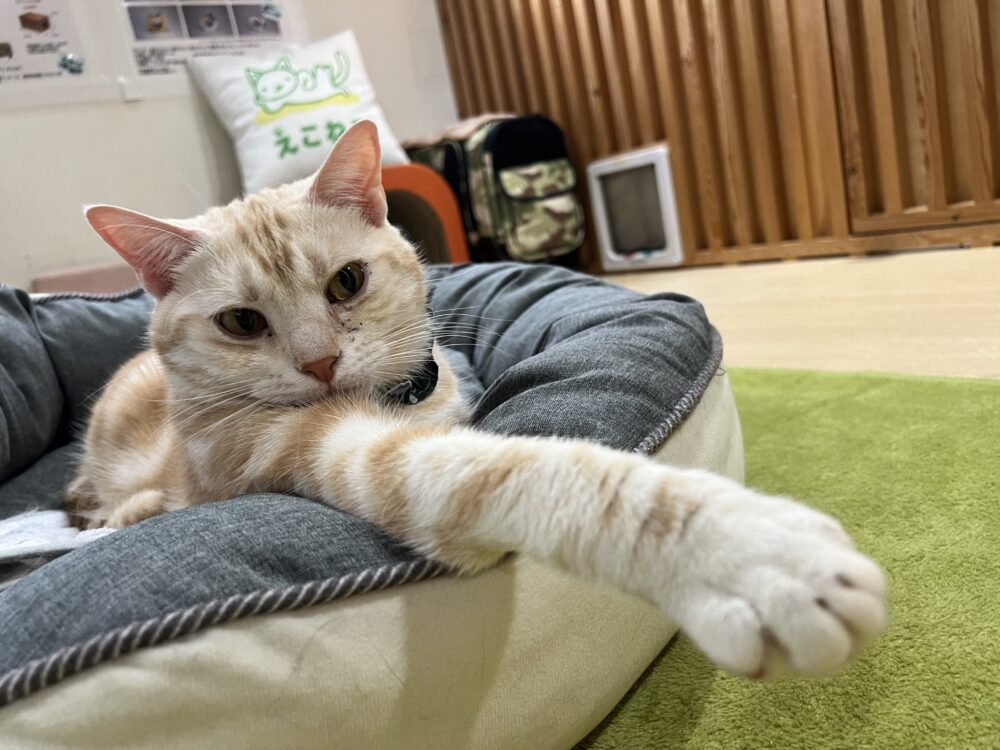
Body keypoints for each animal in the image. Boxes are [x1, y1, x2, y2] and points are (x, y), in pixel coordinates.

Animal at [69, 121, 886, 679]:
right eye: (242, 322)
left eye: (346, 282)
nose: (320, 362)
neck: (408, 404)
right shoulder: (322, 449)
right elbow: (539, 475)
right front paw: (748, 556)